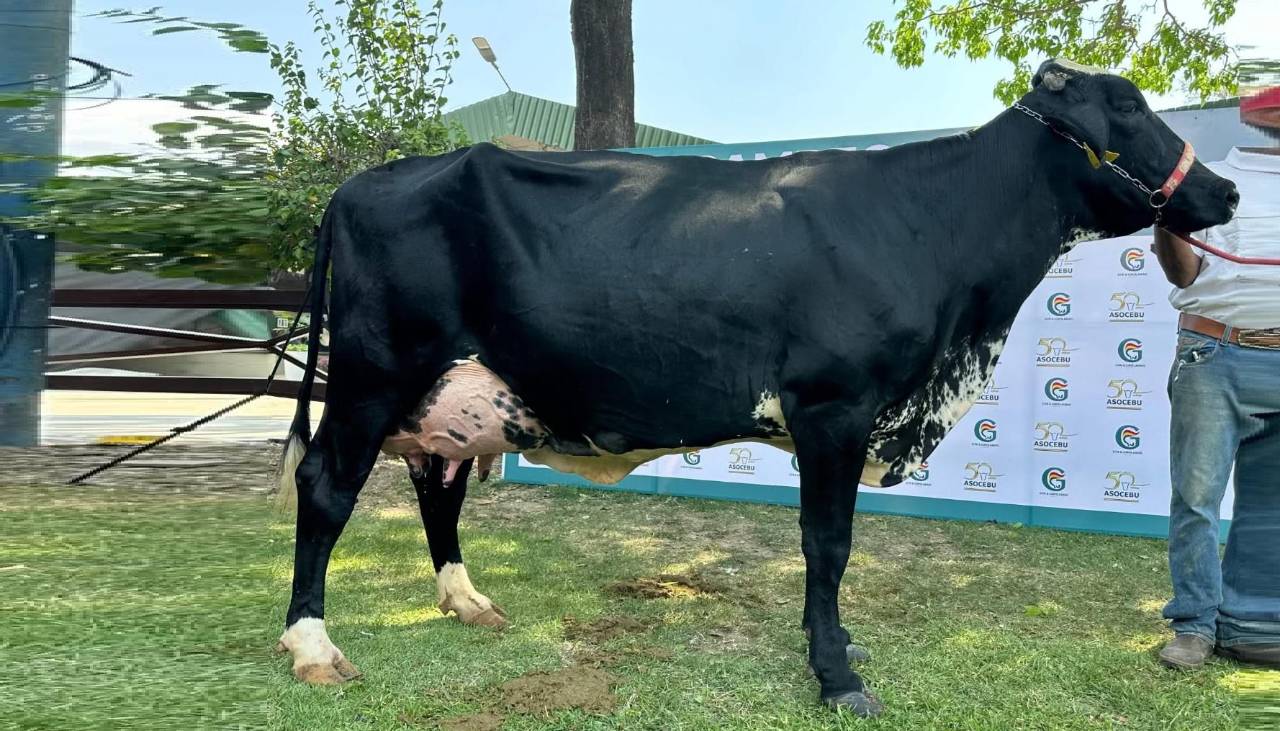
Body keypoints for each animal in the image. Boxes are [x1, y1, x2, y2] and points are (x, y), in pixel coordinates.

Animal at [273, 60, 1237, 717]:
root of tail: (367, 177)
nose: (1226, 188)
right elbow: (829, 543)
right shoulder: (835, 408)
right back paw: (313, 644)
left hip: (447, 399)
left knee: (435, 488)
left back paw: (467, 600)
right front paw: (838, 673)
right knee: (326, 488)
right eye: (1129, 106)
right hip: (373, 374)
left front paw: (834, 648)